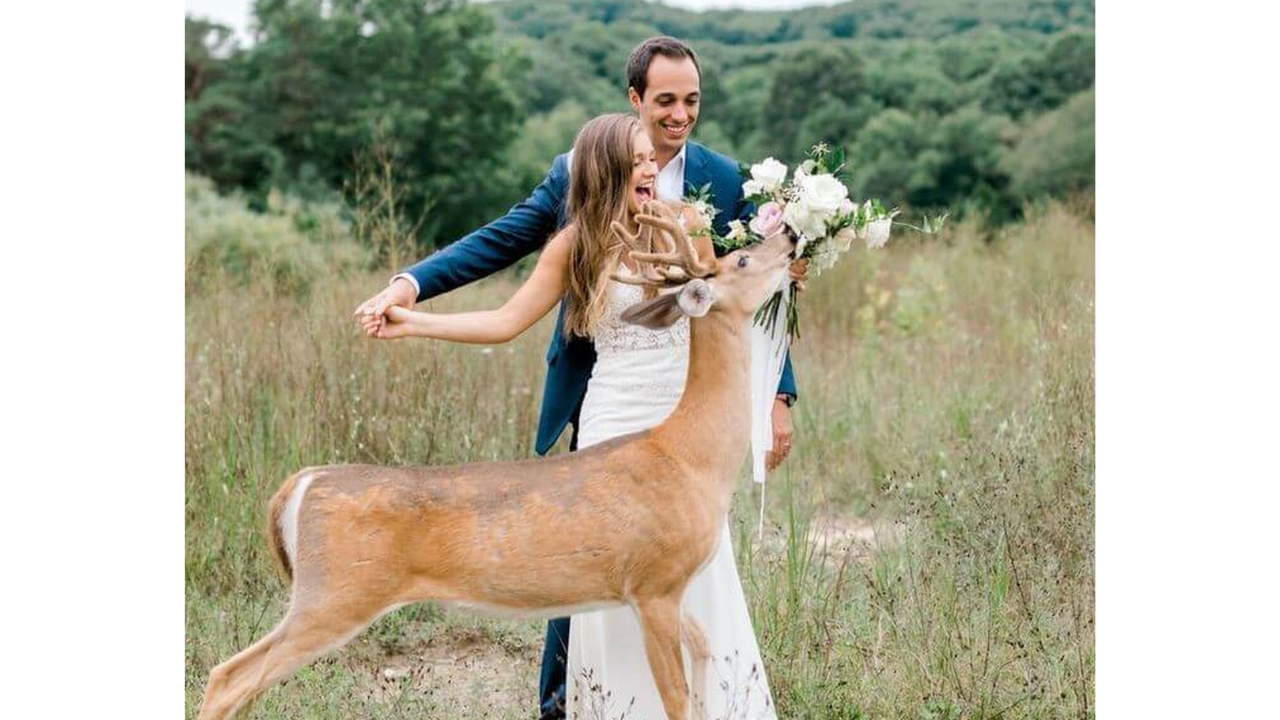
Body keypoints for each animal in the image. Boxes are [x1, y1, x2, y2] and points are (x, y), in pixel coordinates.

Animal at [197, 202, 798, 720]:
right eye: (743, 260)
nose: (791, 235)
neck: (689, 455)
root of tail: (303, 482)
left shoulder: (667, 588)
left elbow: (704, 655)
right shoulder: (653, 581)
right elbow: (676, 701)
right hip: (336, 591)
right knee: (228, 677)